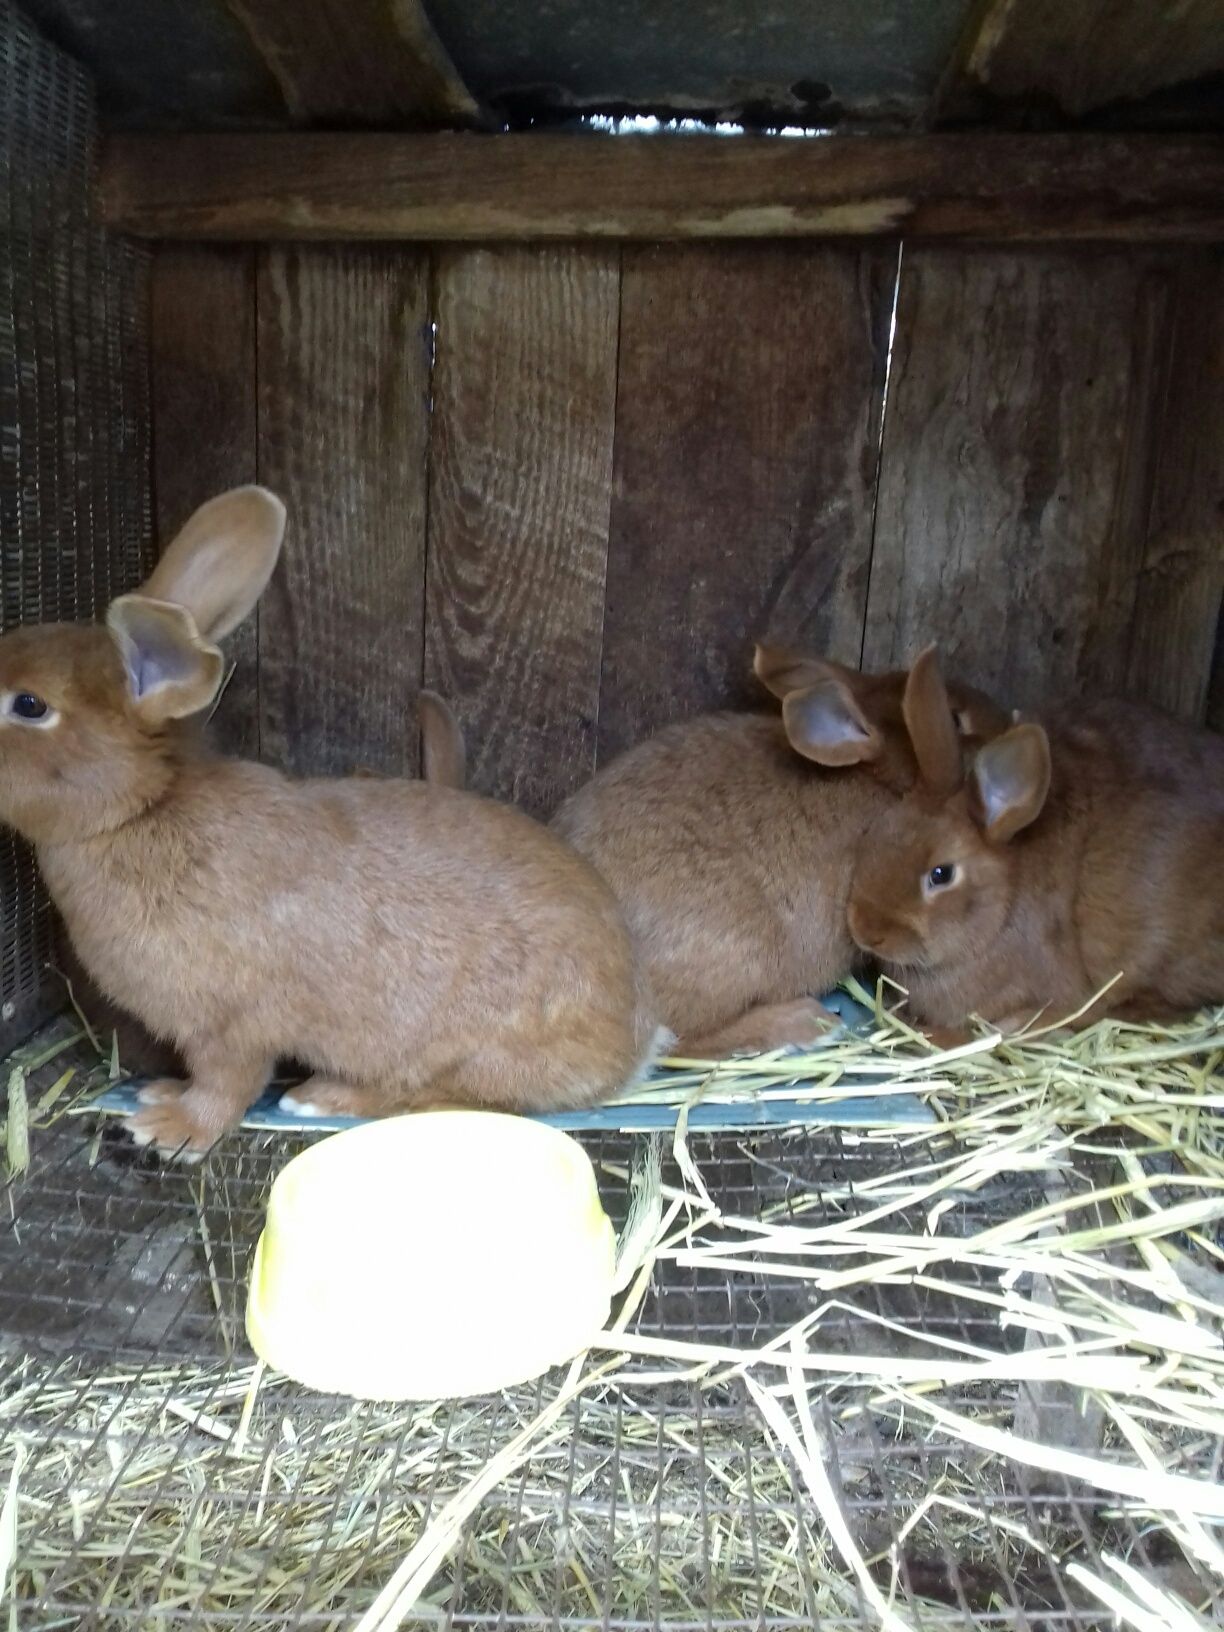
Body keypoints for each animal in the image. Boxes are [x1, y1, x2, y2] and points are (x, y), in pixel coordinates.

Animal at [0, 489, 662, 1155]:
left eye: (29, 705)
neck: (139, 810)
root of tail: (632, 1042)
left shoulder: (232, 1025)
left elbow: (227, 1083)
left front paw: (172, 1130)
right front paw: (161, 1095)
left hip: (466, 1053)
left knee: (441, 1099)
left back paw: (324, 1097)